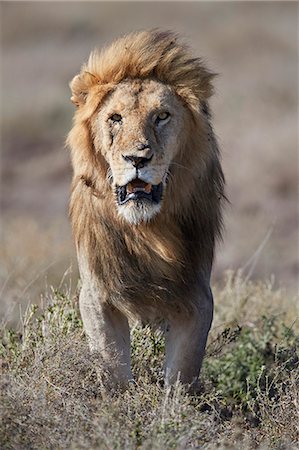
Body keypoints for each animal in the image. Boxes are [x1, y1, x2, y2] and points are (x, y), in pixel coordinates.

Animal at [67, 30, 225, 390]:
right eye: (115, 119)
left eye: (161, 116)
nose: (137, 159)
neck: (146, 231)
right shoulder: (96, 295)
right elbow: (113, 369)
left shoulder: (196, 298)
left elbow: (181, 376)